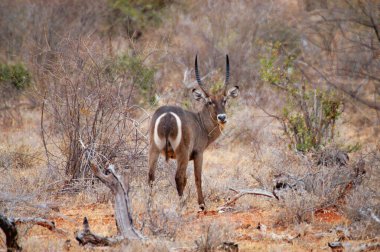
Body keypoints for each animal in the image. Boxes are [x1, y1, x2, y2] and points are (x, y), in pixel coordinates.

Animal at [148, 55, 239, 211]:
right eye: (209, 101)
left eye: (225, 100)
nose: (222, 117)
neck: (200, 123)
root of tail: (168, 115)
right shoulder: (198, 153)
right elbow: (197, 178)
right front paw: (202, 204)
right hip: (182, 152)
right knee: (178, 177)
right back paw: (182, 205)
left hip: (154, 148)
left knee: (151, 176)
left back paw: (150, 206)